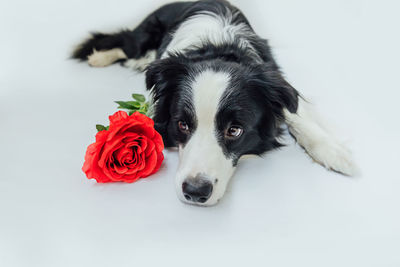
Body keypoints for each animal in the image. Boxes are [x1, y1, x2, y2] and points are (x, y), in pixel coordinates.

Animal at [72, 0, 356, 207]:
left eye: (234, 130)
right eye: (182, 125)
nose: (195, 192)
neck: (219, 50)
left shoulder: (274, 77)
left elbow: (297, 111)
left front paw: (335, 153)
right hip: (143, 35)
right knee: (125, 43)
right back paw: (100, 58)